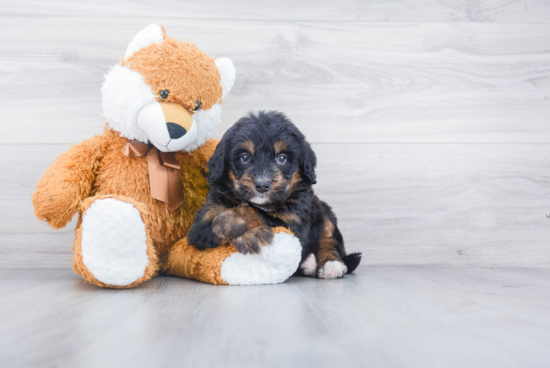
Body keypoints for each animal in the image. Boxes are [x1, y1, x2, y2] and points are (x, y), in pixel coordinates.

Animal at [188, 110, 364, 278]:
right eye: (245, 157)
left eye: (282, 158)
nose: (262, 185)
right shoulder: (202, 224)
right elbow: (209, 229)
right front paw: (252, 236)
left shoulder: (296, 222)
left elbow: (261, 213)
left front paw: (229, 221)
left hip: (323, 210)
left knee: (328, 236)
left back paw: (331, 265)